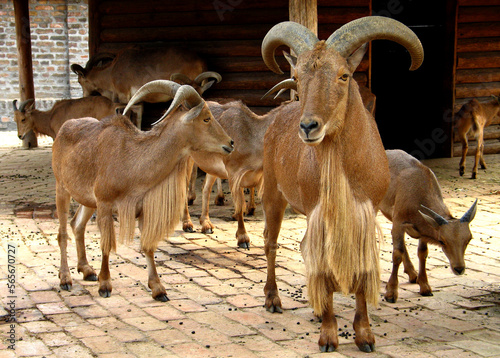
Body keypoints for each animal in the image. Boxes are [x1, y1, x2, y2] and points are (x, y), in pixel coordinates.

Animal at [51, 79, 235, 300]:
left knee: (77, 225)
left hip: (88, 201)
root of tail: (64, 128)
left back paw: (87, 270)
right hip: (62, 189)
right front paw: (105, 285)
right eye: (206, 118)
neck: (133, 160)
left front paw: (158, 289)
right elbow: (106, 244)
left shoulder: (140, 208)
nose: (230, 143)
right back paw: (65, 279)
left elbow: (148, 246)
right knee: (62, 233)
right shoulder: (105, 204)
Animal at [260, 16, 424, 352]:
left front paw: (365, 336)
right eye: (297, 76)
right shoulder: (320, 214)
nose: (308, 127)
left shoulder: (365, 214)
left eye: (344, 75)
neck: (345, 173)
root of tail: (278, 115)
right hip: (273, 194)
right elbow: (324, 268)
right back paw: (273, 299)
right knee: (271, 241)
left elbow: (360, 271)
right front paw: (328, 336)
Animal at [378, 150, 476, 304]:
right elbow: (397, 254)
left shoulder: (422, 228)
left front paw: (425, 287)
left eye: (469, 239)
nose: (459, 269)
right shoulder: (399, 221)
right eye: (442, 241)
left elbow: (422, 253)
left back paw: (413, 275)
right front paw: (391, 293)